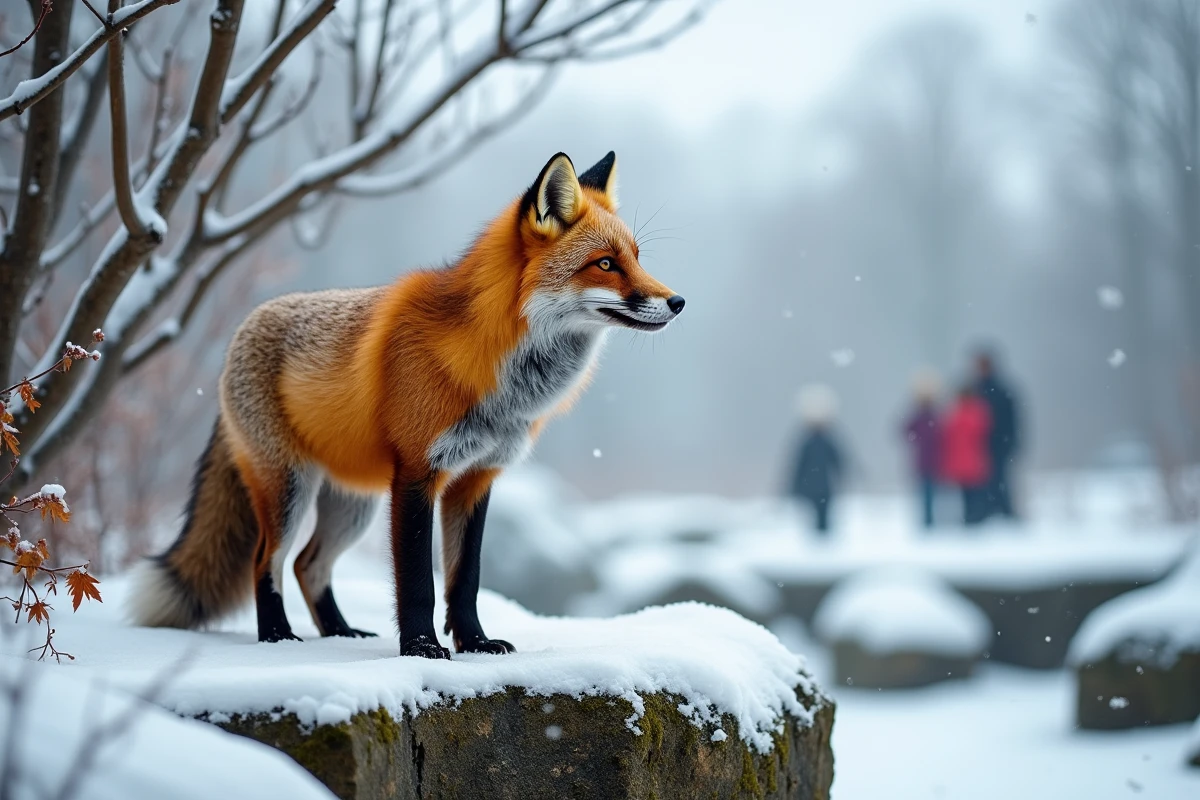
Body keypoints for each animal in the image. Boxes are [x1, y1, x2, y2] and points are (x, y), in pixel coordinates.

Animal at [130, 152, 685, 658]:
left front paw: (475, 643)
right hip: (289, 488)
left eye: (637, 258)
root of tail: (240, 333)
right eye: (606, 264)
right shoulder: (418, 472)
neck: (501, 375)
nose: (678, 302)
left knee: (308, 564)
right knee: (267, 560)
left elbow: (465, 578)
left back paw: (339, 634)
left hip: (353, 503)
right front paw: (421, 648)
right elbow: (418, 580)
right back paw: (277, 637)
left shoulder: (476, 478)